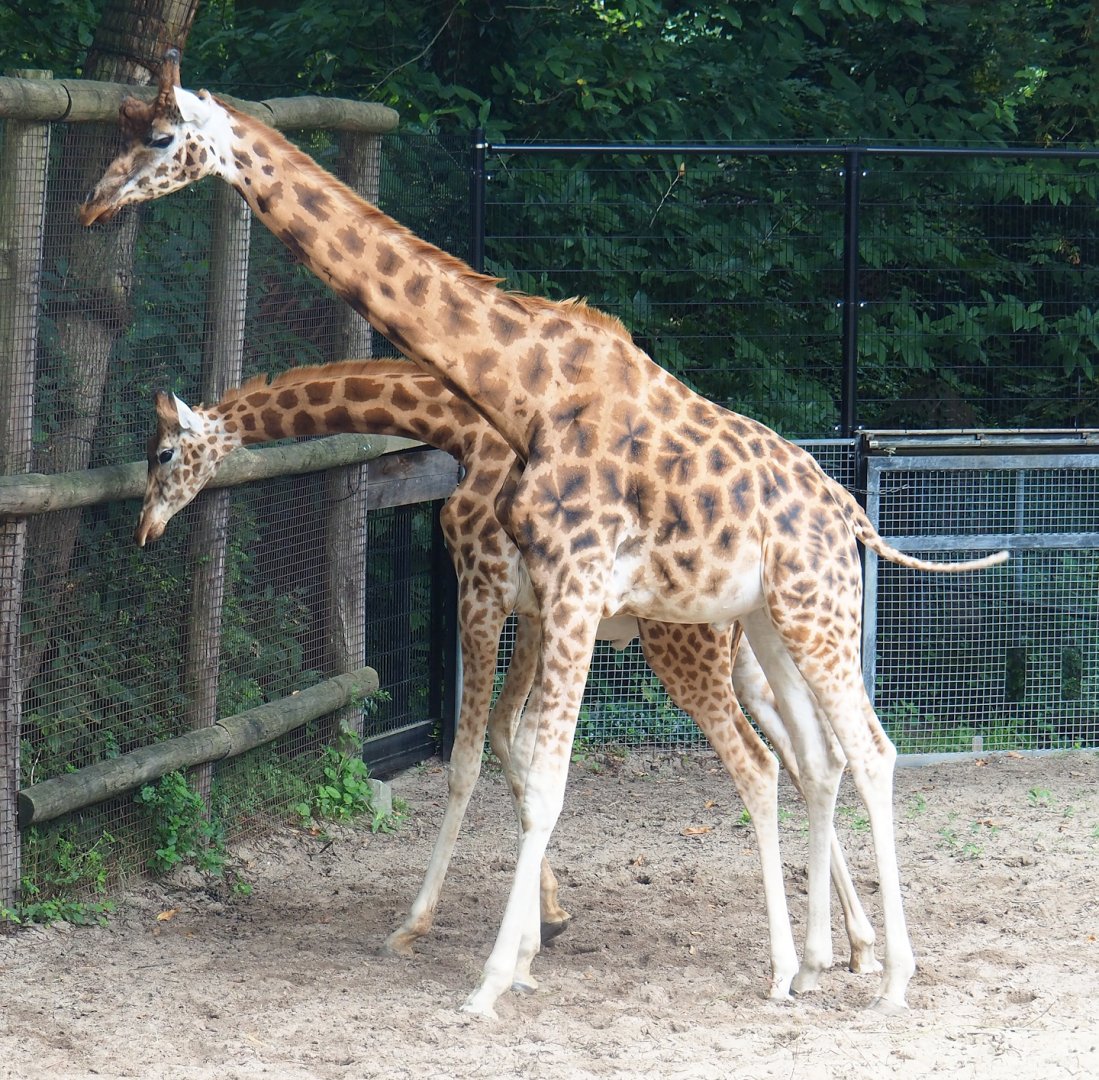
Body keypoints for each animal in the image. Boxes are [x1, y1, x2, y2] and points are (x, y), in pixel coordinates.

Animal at [135, 358, 882, 984]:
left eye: (164, 452)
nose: (145, 527)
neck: (463, 432)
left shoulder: (485, 592)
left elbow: (471, 756)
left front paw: (422, 926)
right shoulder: (534, 613)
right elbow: (511, 739)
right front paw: (545, 920)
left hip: (693, 647)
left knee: (775, 758)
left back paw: (818, 953)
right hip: (748, 648)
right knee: (812, 756)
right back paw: (856, 944)